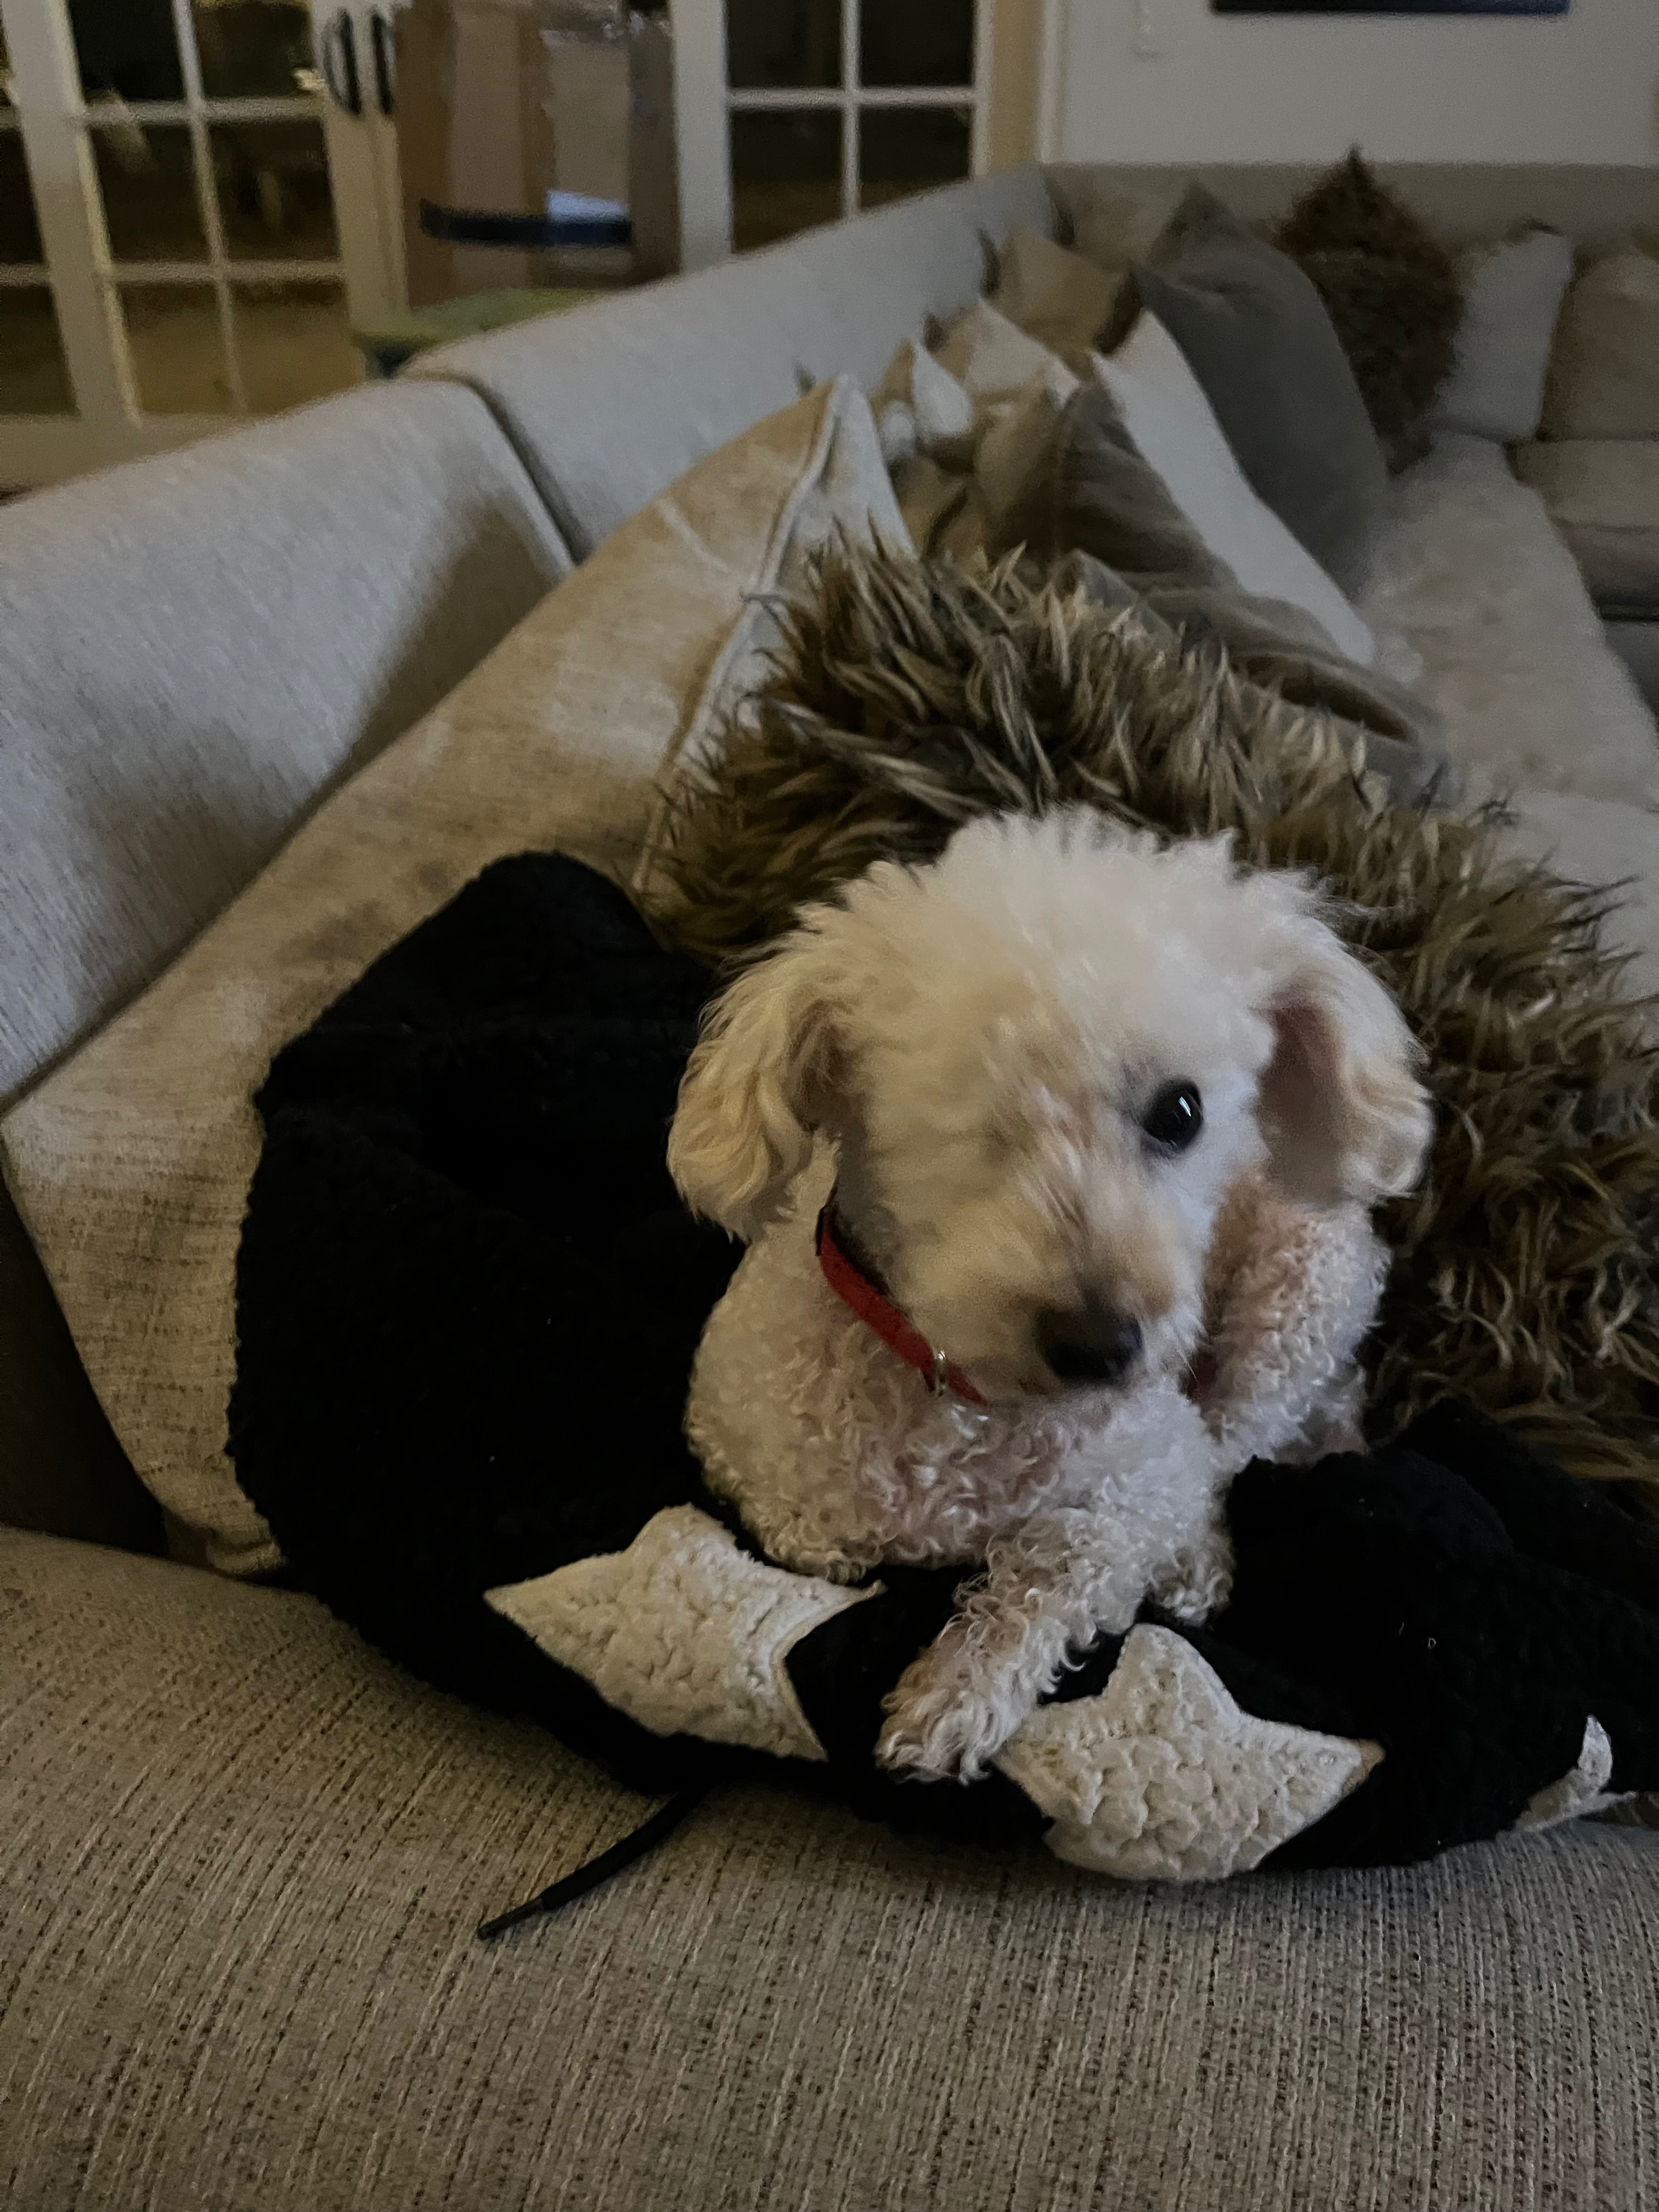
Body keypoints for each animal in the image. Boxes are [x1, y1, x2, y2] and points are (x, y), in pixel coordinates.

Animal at [668, 811, 1432, 1782]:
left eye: (1180, 1110)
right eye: (961, 1109)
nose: (1102, 1347)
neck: (965, 1403)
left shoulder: (1143, 1474)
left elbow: (1061, 1566)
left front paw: (956, 1695)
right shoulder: (758, 1471)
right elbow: (818, 1538)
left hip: (1300, 1294)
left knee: (1230, 1449)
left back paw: (1197, 1558)